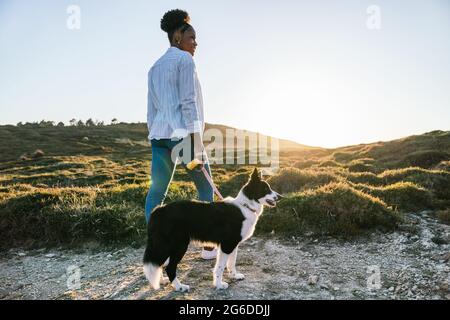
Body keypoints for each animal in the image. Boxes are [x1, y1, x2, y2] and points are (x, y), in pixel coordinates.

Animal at [143, 169, 282, 292]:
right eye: (265, 189)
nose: (280, 197)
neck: (246, 206)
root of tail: (159, 210)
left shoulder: (233, 245)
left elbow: (231, 263)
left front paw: (234, 276)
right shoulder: (227, 245)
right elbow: (220, 267)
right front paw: (219, 285)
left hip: (164, 246)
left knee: (158, 262)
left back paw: (162, 280)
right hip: (178, 245)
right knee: (169, 267)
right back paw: (179, 287)